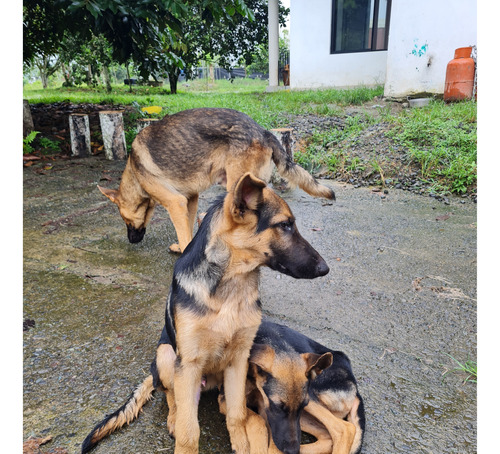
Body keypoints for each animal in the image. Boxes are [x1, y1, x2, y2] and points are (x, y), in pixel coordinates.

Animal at [83, 172, 328, 452]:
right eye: (285, 225)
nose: (325, 268)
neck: (231, 285)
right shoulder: (188, 364)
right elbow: (189, 430)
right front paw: (183, 435)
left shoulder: (238, 361)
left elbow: (237, 414)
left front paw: (241, 444)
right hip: (166, 355)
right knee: (171, 396)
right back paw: (173, 417)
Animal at [98, 108, 336, 254]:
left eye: (125, 220)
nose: (131, 240)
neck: (134, 171)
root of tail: (263, 131)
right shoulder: (189, 201)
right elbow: (188, 231)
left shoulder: (175, 203)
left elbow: (183, 233)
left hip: (237, 189)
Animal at [219, 320, 364, 454]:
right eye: (277, 406)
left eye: (303, 404)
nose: (292, 450)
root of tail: (354, 386)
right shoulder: (232, 401)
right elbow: (257, 420)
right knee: (327, 436)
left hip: (311, 397)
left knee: (344, 428)